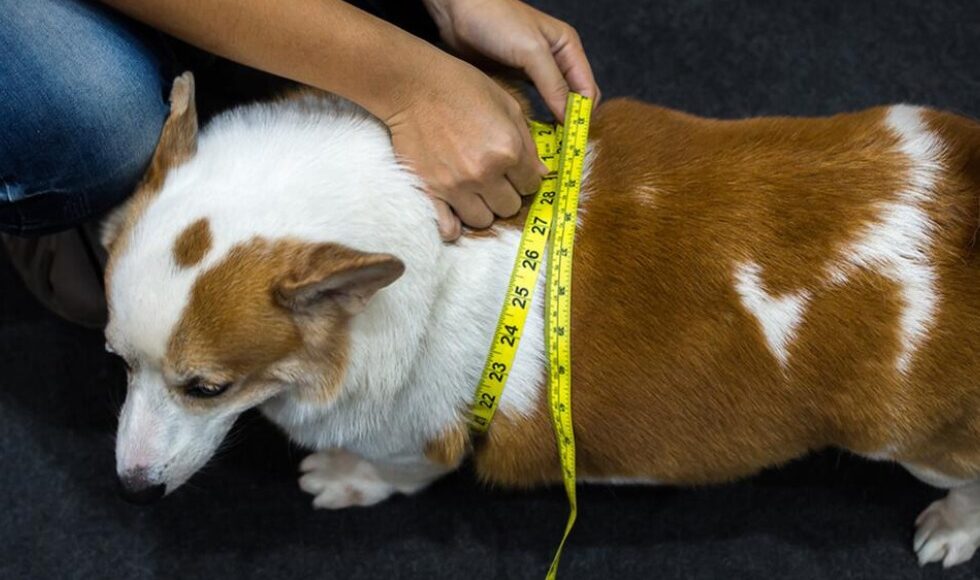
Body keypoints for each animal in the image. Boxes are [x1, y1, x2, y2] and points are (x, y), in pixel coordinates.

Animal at [101, 72, 980, 568]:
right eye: (116, 361)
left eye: (207, 388)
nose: (132, 493)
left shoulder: (419, 439)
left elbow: (397, 473)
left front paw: (343, 479)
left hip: (915, 442)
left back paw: (950, 530)